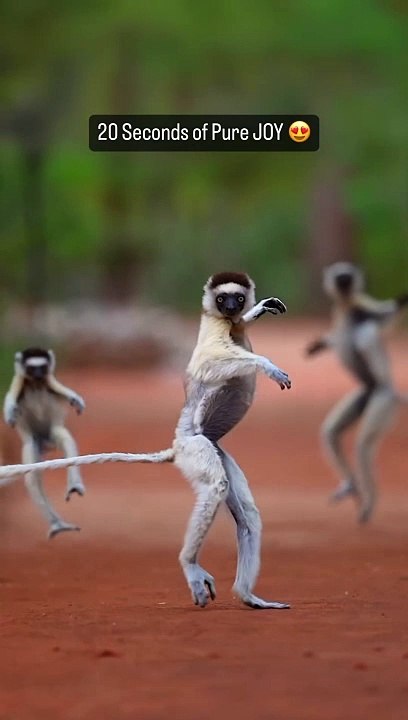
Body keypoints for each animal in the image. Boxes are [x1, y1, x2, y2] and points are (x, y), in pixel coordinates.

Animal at [3, 348, 86, 538]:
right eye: (32, 368)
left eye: (43, 366)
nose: (39, 374)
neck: (36, 384)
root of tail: (45, 441)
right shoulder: (20, 381)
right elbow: (11, 398)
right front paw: (10, 411)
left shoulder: (49, 381)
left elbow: (59, 389)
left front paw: (74, 398)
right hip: (33, 442)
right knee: (32, 477)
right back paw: (56, 524)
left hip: (51, 434)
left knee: (65, 438)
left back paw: (74, 485)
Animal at [306, 261, 408, 523]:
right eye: (340, 276)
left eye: (348, 276)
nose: (343, 281)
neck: (345, 306)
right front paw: (321, 344)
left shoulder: (362, 307)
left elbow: (389, 314)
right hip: (365, 394)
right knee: (331, 433)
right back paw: (352, 486)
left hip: (383, 398)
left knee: (363, 445)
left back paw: (369, 503)